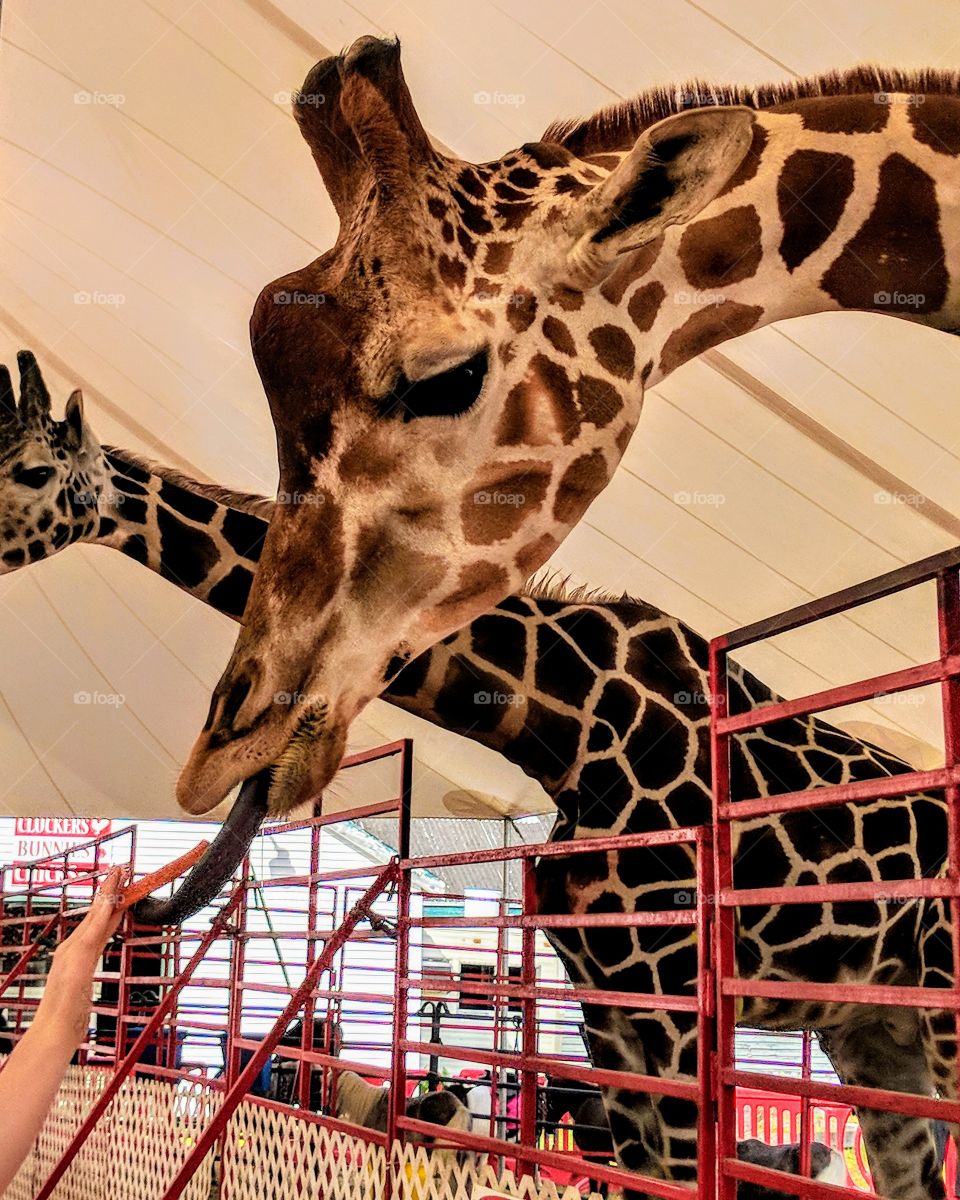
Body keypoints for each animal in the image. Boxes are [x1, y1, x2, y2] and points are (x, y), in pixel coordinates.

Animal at [0, 355, 950, 1198]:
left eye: (33, 469)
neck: (568, 734)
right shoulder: (606, 1009)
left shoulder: (675, 996)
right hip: (874, 1033)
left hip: (938, 999)